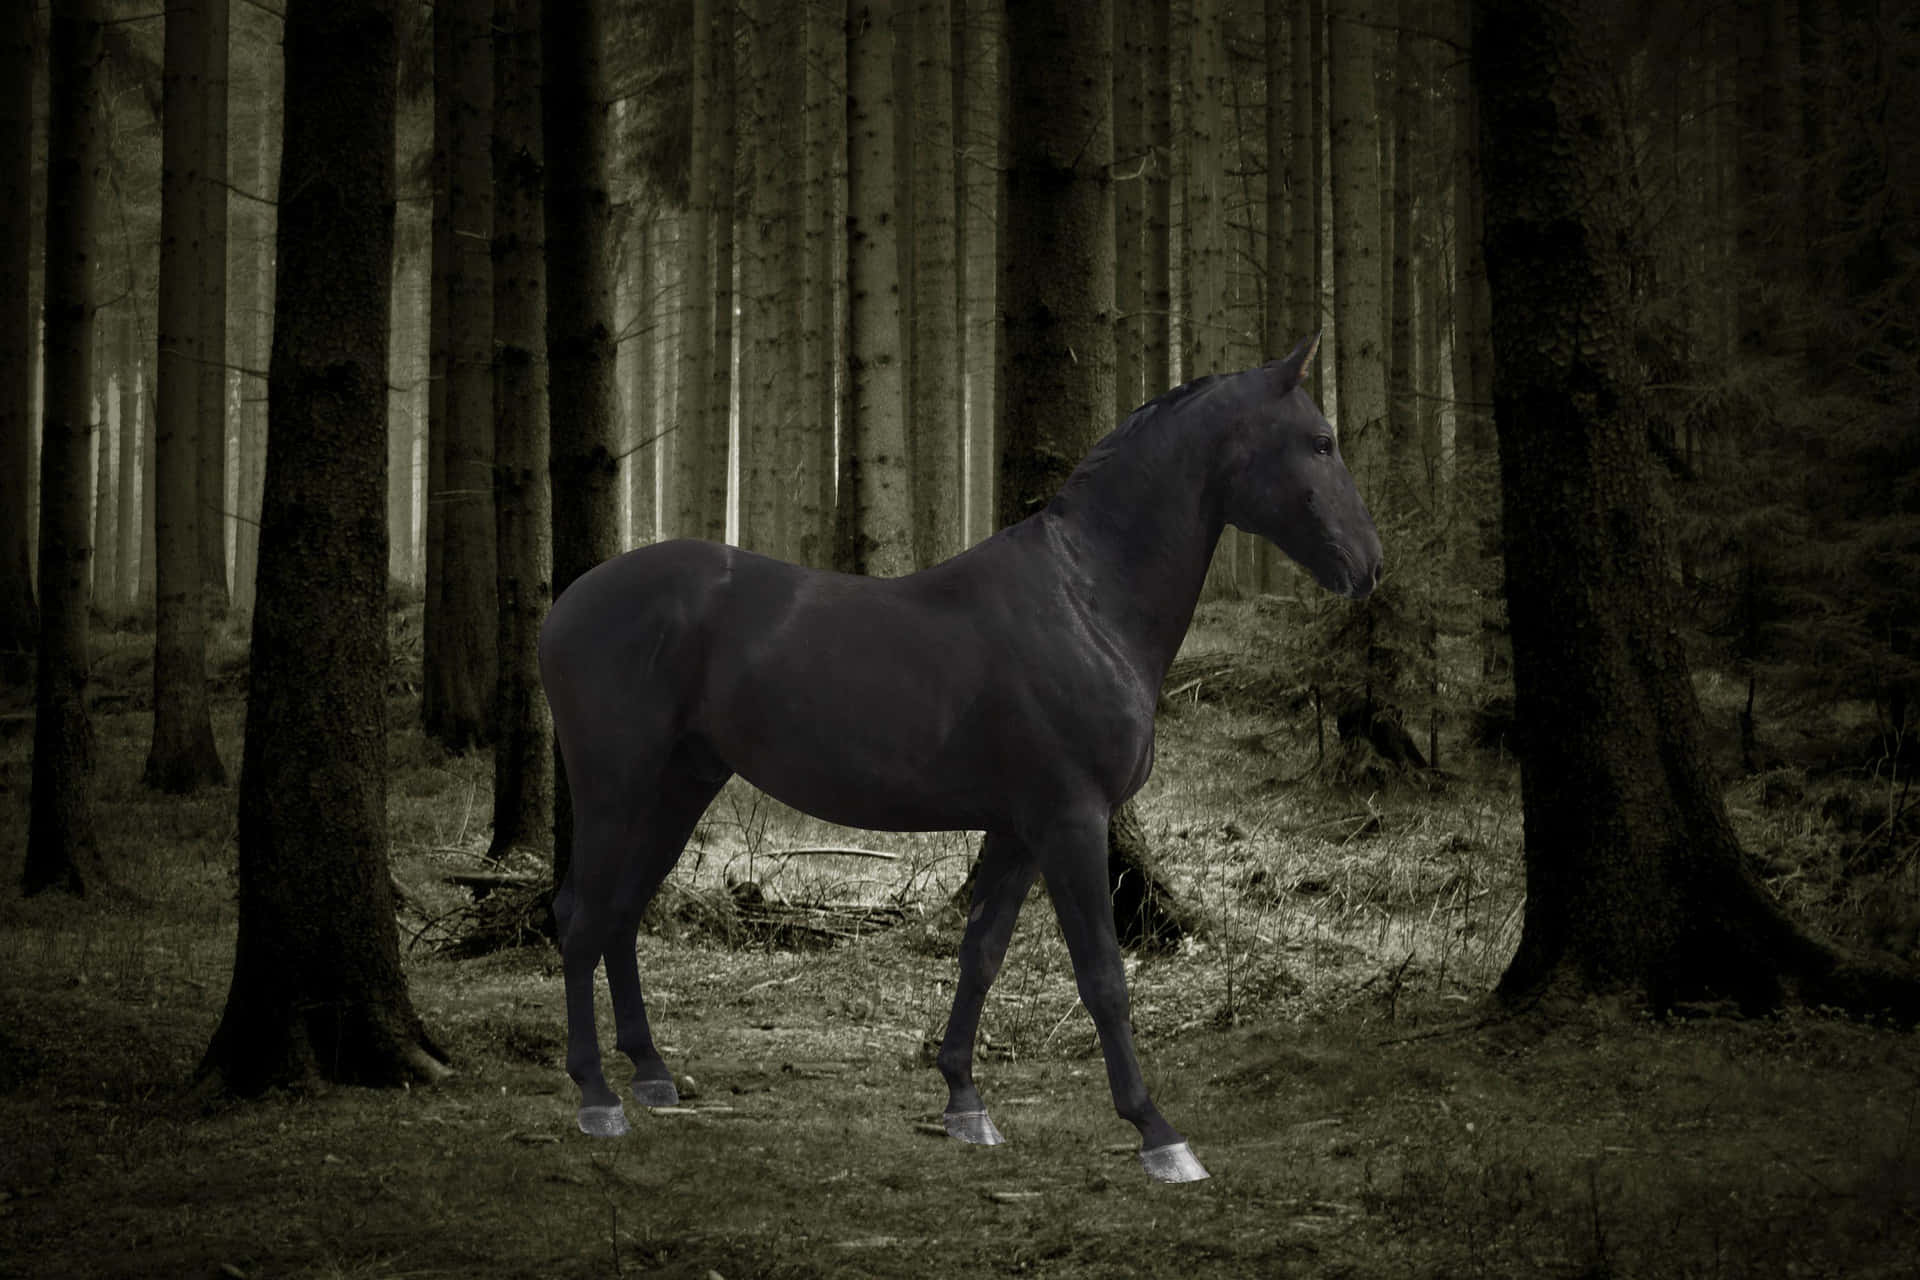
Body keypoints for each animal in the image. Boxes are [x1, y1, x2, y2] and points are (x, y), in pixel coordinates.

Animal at [539, 333, 1381, 1183]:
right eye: (1321, 442)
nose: (1370, 565)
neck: (1086, 601)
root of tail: (566, 607)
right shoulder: (1071, 819)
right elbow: (1103, 978)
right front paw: (1157, 1133)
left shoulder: (1017, 829)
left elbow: (980, 954)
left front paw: (964, 1103)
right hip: (615, 786)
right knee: (581, 915)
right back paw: (596, 1096)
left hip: (682, 783)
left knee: (620, 913)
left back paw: (651, 1074)